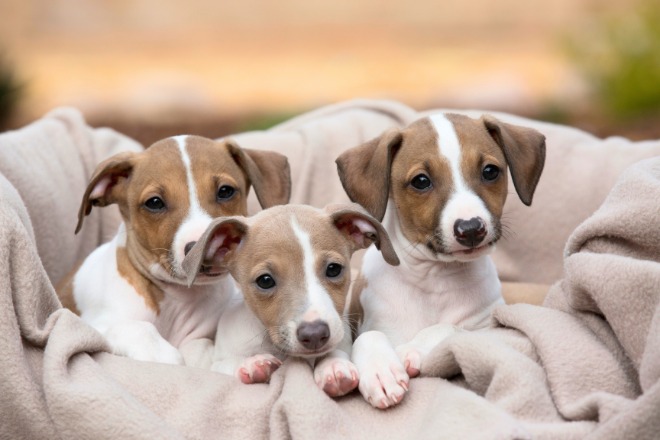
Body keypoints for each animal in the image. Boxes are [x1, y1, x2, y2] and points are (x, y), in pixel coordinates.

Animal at [58, 136, 290, 366]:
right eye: (154, 202)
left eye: (225, 191)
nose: (203, 249)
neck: (178, 299)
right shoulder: (93, 323)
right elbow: (139, 329)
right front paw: (166, 357)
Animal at [179, 205, 398, 398]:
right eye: (265, 280)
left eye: (334, 268)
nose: (315, 335)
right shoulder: (217, 362)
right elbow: (226, 364)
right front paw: (252, 364)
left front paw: (333, 365)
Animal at [336, 113, 548, 410]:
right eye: (421, 181)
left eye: (490, 171)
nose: (471, 229)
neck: (435, 278)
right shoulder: (375, 322)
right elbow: (369, 336)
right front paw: (380, 372)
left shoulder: (489, 326)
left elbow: (450, 327)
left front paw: (412, 349)